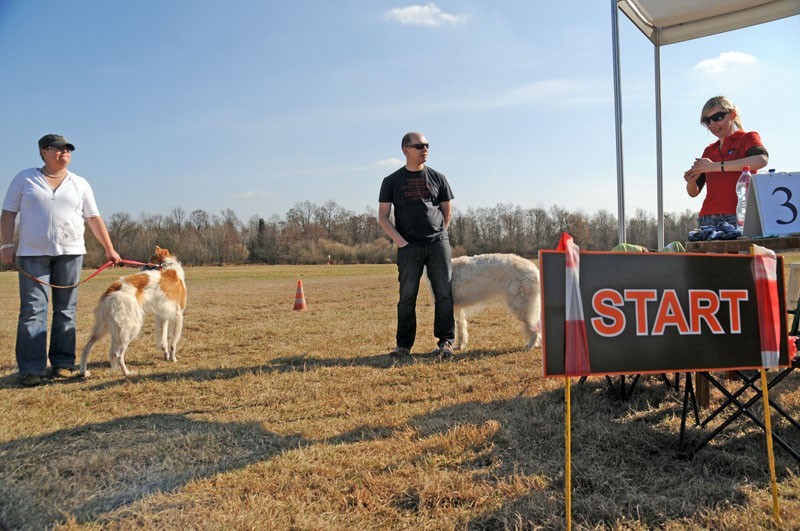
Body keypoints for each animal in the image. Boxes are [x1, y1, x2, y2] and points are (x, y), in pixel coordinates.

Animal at [81, 246, 188, 378]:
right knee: (118, 354)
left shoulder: (163, 316)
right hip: (131, 326)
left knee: (87, 348)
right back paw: (127, 372)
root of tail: (112, 289)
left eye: (150, 259)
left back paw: (83, 372)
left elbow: (163, 340)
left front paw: (166, 356)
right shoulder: (178, 315)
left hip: (104, 327)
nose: (141, 267)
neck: (168, 267)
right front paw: (173, 358)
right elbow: (173, 342)